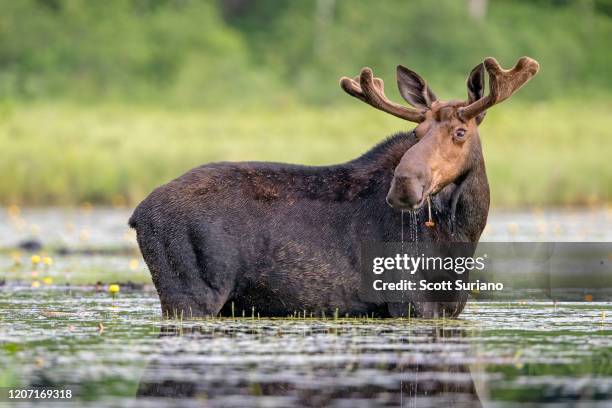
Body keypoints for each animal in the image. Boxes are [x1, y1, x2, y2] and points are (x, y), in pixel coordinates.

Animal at [130, 56, 540, 318]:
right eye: (416, 132)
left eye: (460, 132)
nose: (404, 185)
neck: (462, 236)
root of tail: (137, 215)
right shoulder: (409, 302)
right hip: (190, 294)